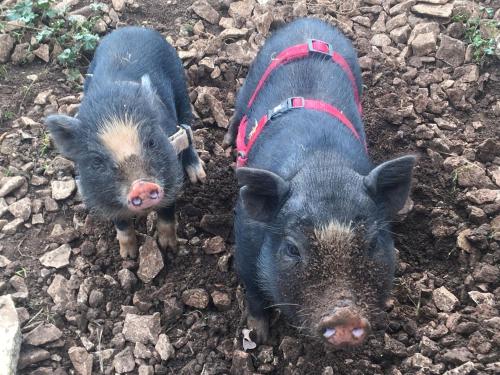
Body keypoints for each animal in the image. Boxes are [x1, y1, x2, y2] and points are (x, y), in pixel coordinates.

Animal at [45, 27, 205, 258]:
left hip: (180, 85)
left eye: (151, 142)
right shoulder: (98, 196)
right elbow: (121, 224)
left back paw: (199, 176)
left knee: (187, 129)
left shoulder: (172, 176)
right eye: (97, 161)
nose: (142, 185)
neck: (114, 109)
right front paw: (128, 257)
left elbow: (167, 215)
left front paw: (169, 250)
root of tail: (132, 28)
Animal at [226, 19, 414, 350]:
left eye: (372, 243)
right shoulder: (244, 244)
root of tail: (308, 21)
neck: (322, 167)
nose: (344, 317)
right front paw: (259, 338)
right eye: (292, 248)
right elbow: (254, 295)